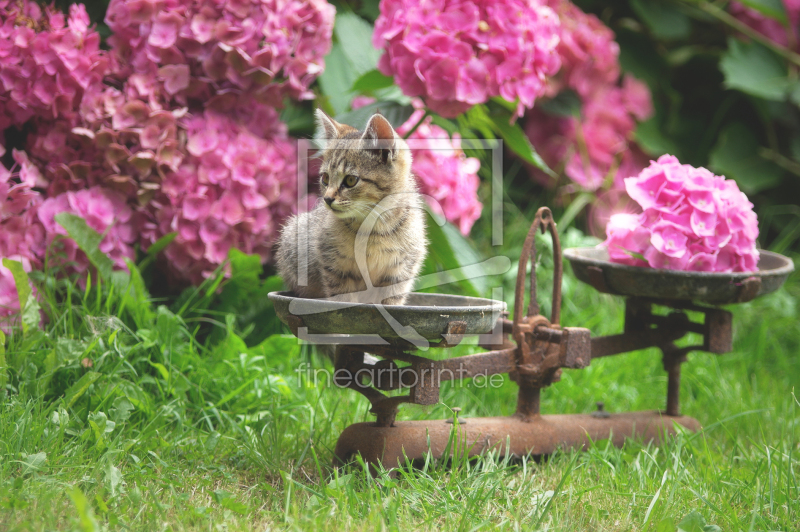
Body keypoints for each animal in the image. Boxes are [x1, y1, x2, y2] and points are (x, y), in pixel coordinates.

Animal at [276, 110, 424, 306]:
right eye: (325, 178)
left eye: (351, 180)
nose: (327, 198)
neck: (373, 228)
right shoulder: (336, 266)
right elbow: (343, 300)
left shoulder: (401, 270)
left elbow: (391, 301)